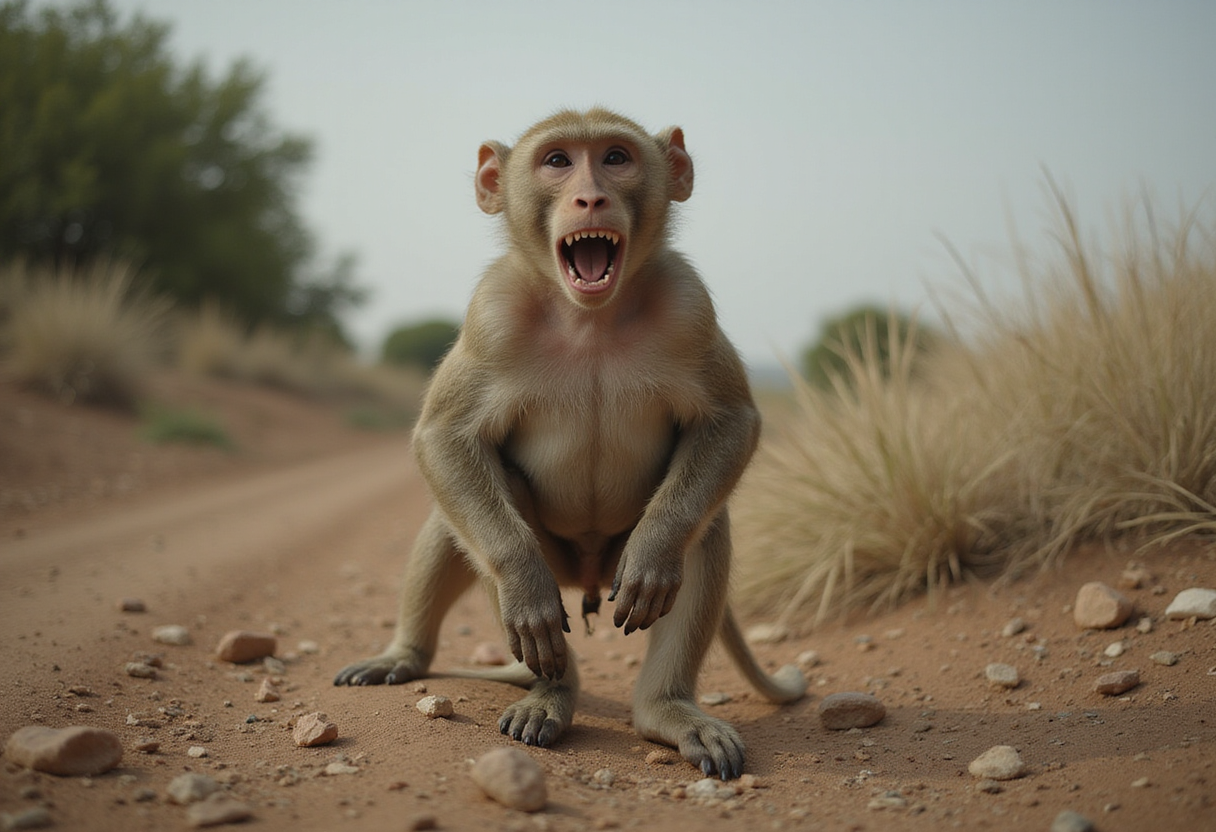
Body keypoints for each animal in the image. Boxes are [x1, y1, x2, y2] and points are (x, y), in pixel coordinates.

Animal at [334, 108, 806, 780]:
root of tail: (585, 579)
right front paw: (522, 589)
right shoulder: (492, 313)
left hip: (611, 566)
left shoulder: (689, 304)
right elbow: (446, 438)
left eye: (615, 157)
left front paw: (656, 552)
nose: (590, 197)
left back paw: (665, 710)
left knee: (704, 529)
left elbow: (729, 420)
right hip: (555, 562)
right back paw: (501, 678)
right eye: (558, 161)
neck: (590, 316)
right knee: (473, 516)